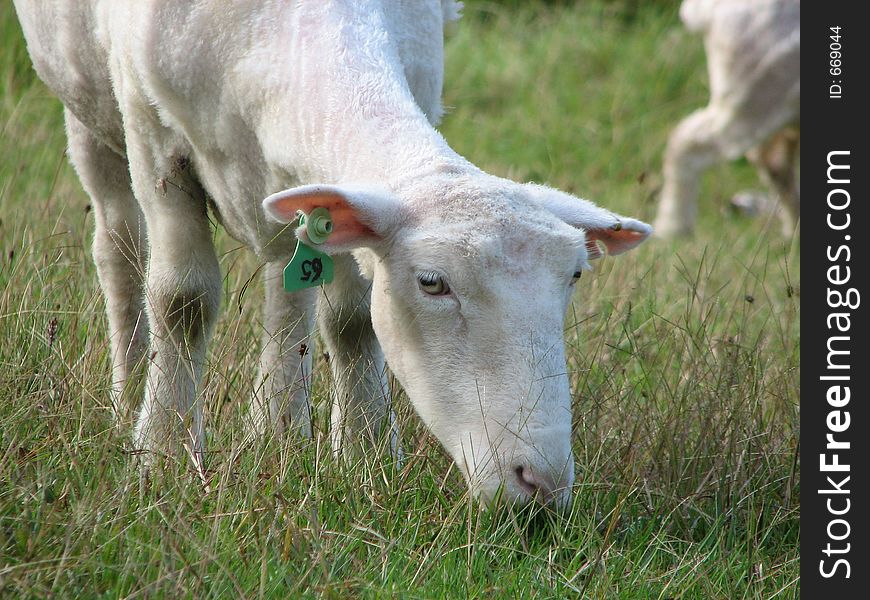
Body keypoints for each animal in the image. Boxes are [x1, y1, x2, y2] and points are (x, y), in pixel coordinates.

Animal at [11, 0, 656, 508]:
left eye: (575, 276)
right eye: (431, 282)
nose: (540, 485)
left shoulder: (352, 190)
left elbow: (351, 322)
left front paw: (365, 458)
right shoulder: (154, 137)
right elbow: (182, 300)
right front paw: (162, 455)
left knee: (285, 281)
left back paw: (275, 432)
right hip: (89, 109)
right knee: (119, 249)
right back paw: (127, 401)